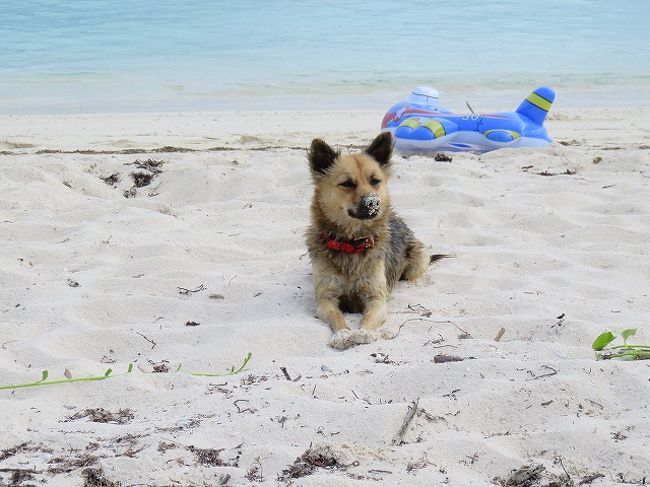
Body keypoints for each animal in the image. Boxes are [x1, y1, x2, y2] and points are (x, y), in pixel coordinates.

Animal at [304, 132, 436, 348]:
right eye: (347, 183)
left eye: (375, 181)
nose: (374, 202)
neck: (351, 243)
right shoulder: (326, 299)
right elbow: (336, 317)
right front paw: (342, 334)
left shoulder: (376, 298)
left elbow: (368, 318)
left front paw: (363, 333)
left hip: (419, 257)